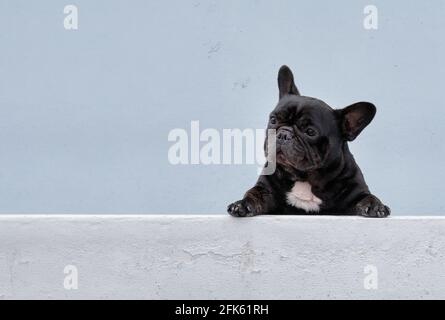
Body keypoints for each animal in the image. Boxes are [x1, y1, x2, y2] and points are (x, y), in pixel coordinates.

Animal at [227, 66, 390, 219]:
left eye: (310, 132)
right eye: (273, 120)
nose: (283, 134)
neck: (305, 179)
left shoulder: (356, 191)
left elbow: (367, 197)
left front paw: (375, 205)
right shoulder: (265, 189)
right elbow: (253, 194)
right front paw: (241, 204)